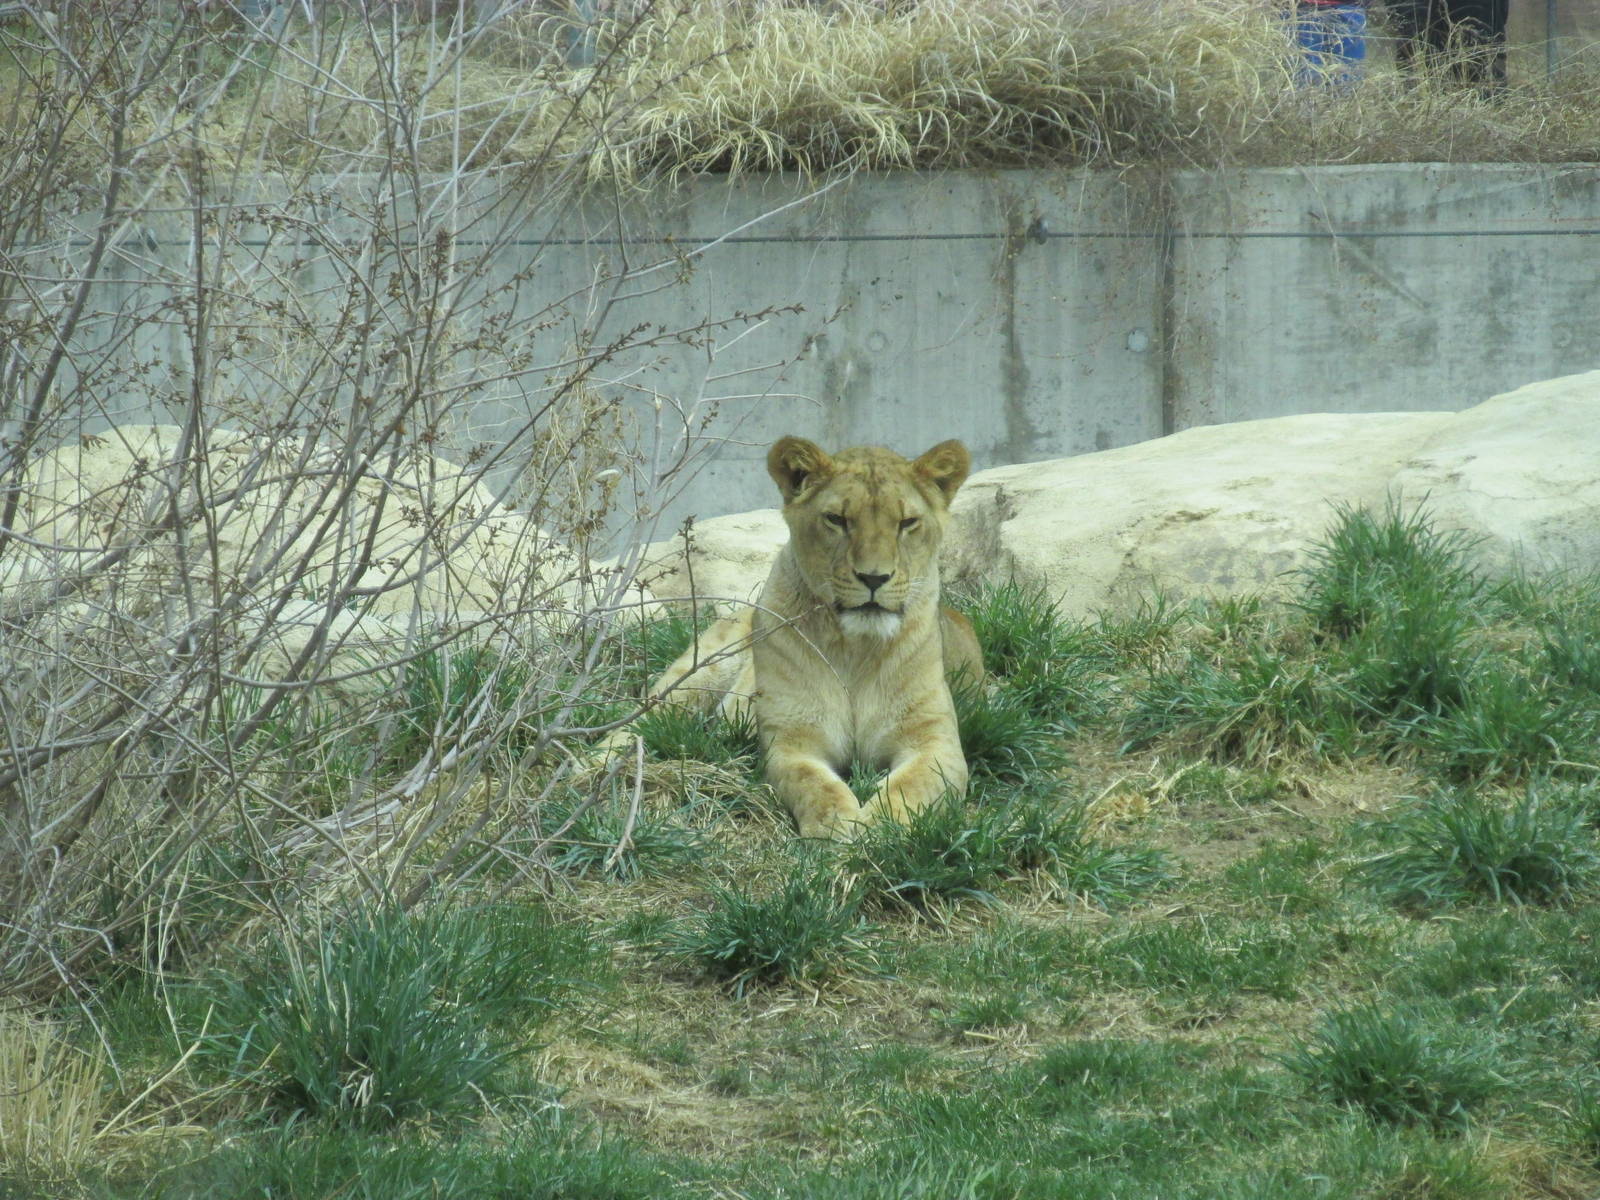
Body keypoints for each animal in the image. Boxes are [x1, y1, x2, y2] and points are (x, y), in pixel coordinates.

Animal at [617, 435, 982, 839]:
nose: (873, 578)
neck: (856, 647)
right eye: (837, 519)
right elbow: (815, 784)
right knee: (631, 727)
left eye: (907, 523)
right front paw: (838, 829)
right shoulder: (792, 741)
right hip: (692, 679)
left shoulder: (936, 742)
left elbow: (911, 787)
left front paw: (878, 830)